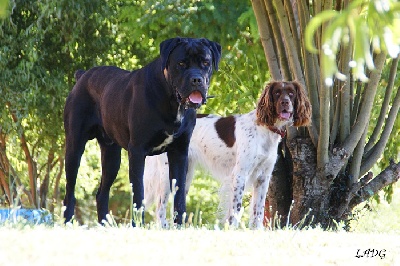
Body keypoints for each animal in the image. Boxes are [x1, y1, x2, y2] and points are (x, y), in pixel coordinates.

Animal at [64, 37, 223, 224]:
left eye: (206, 62)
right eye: (181, 63)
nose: (196, 79)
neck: (172, 102)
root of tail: (82, 76)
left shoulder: (179, 152)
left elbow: (179, 196)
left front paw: (179, 226)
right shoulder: (138, 152)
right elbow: (139, 195)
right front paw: (137, 225)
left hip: (111, 156)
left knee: (101, 193)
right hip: (74, 147)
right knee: (70, 191)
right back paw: (67, 222)